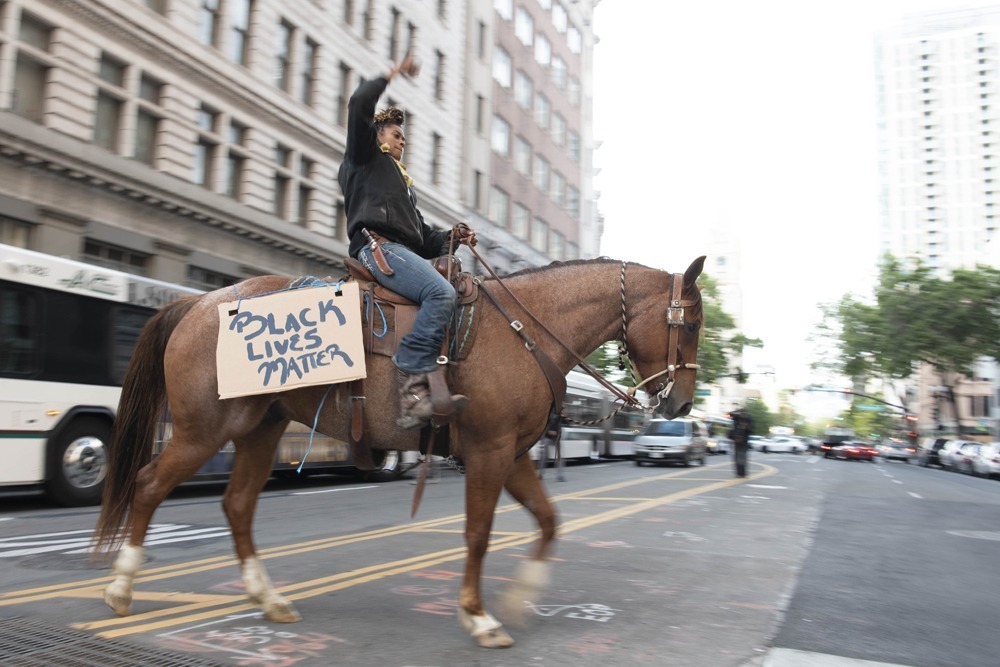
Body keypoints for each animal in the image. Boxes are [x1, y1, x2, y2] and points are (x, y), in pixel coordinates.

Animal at [92, 254, 704, 648]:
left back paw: (269, 599)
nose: (680, 404)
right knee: (149, 485)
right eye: (693, 321)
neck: (524, 330)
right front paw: (479, 617)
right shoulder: (489, 451)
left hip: (258, 429)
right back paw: (120, 589)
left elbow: (549, 521)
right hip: (203, 430)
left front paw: (519, 599)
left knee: (238, 504)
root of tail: (197, 302)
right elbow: (478, 534)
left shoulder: (512, 454)